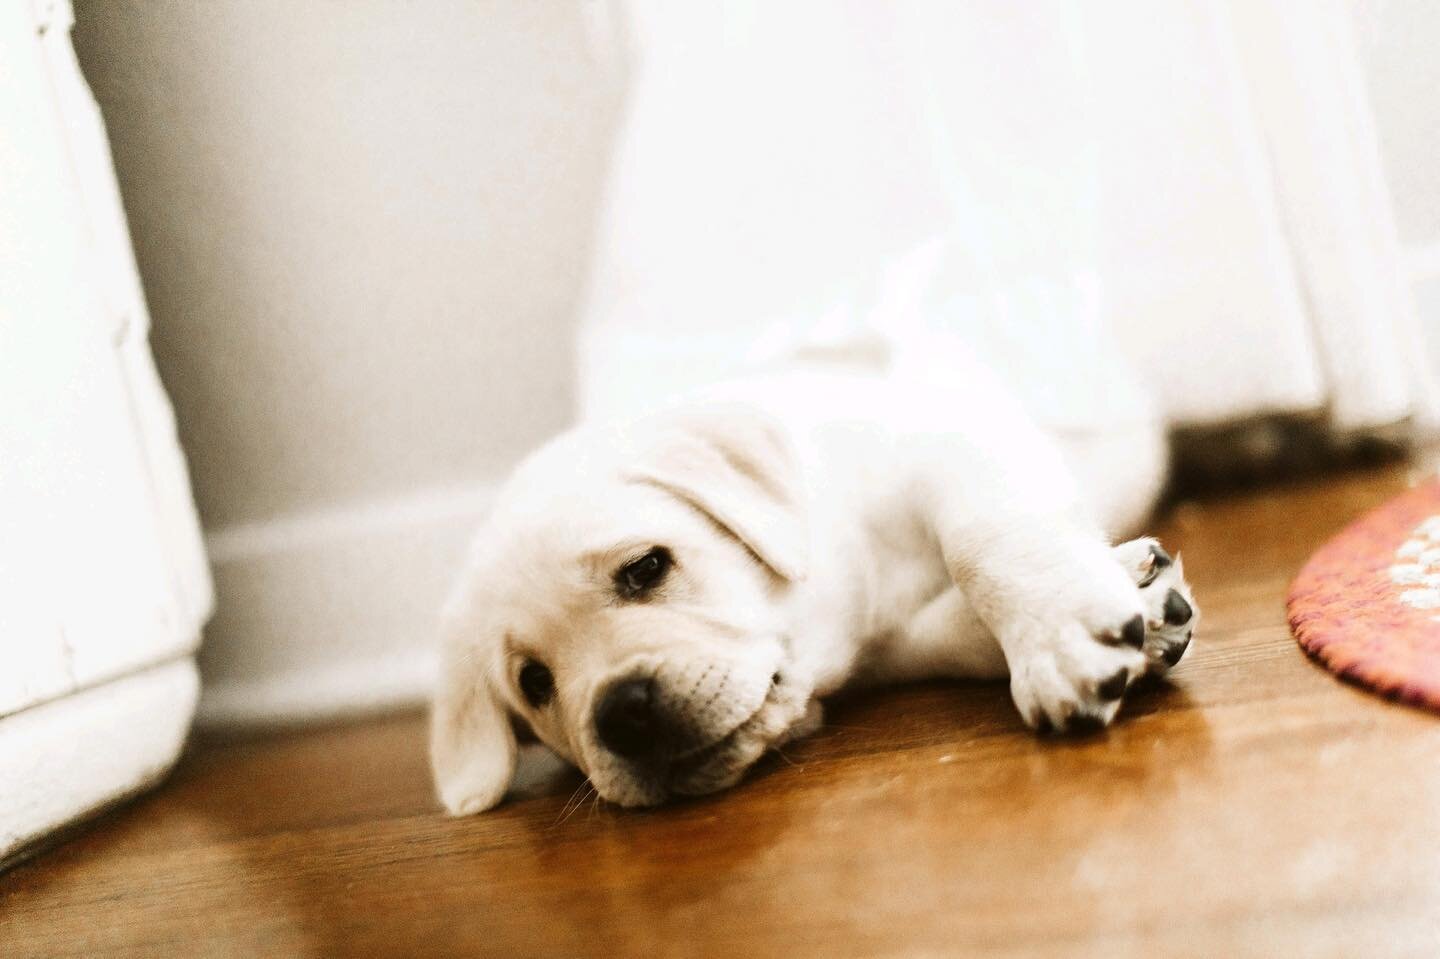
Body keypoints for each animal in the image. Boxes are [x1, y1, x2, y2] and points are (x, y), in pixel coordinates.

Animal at [432, 354, 1198, 812]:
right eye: (534, 682)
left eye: (647, 567)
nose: (623, 713)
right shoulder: (893, 644)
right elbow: (946, 630)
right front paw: (1133, 607)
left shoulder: (949, 435)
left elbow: (986, 534)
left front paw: (1060, 631)